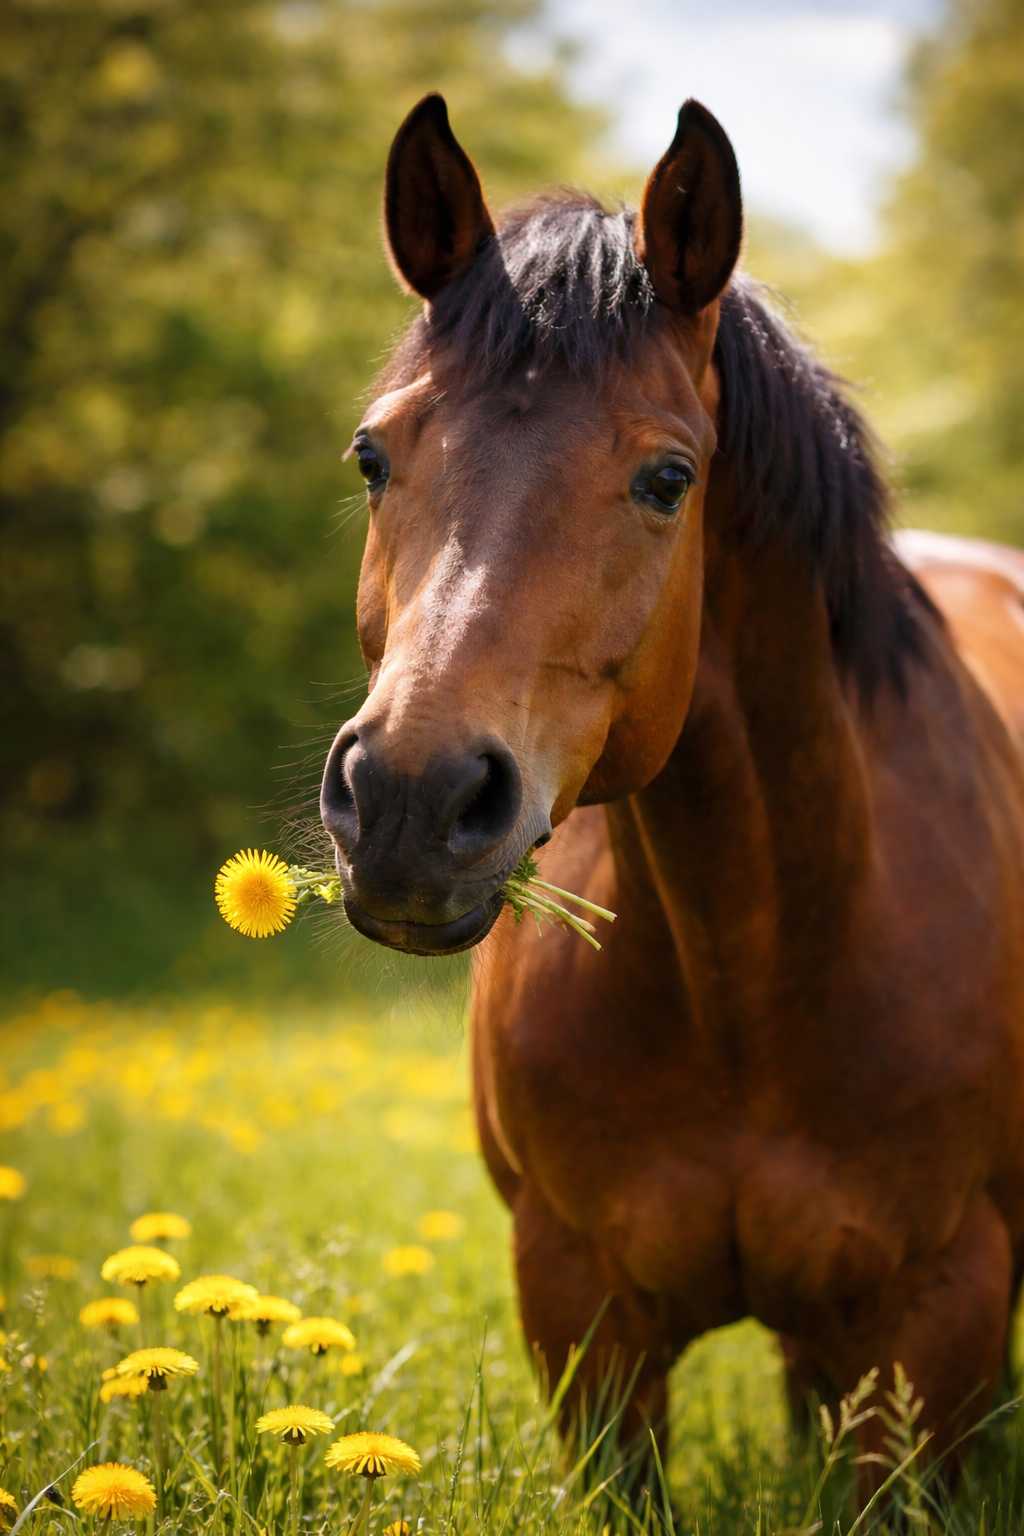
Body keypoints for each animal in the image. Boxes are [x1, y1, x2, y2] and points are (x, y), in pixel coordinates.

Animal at [319, 93, 1024, 1487]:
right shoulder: (582, 1314)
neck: (750, 972)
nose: (413, 802)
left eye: (666, 479)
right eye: (373, 455)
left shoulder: (938, 1322)